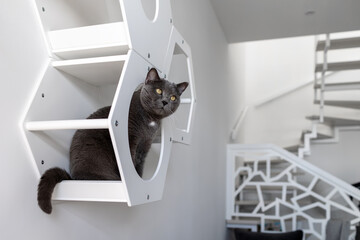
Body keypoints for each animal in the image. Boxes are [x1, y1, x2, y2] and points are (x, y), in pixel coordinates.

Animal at [37, 67, 188, 214]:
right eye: (158, 91)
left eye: (173, 97)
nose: (165, 101)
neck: (150, 121)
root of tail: (74, 179)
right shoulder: (131, 138)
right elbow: (132, 160)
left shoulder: (145, 145)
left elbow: (139, 165)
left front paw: (139, 180)